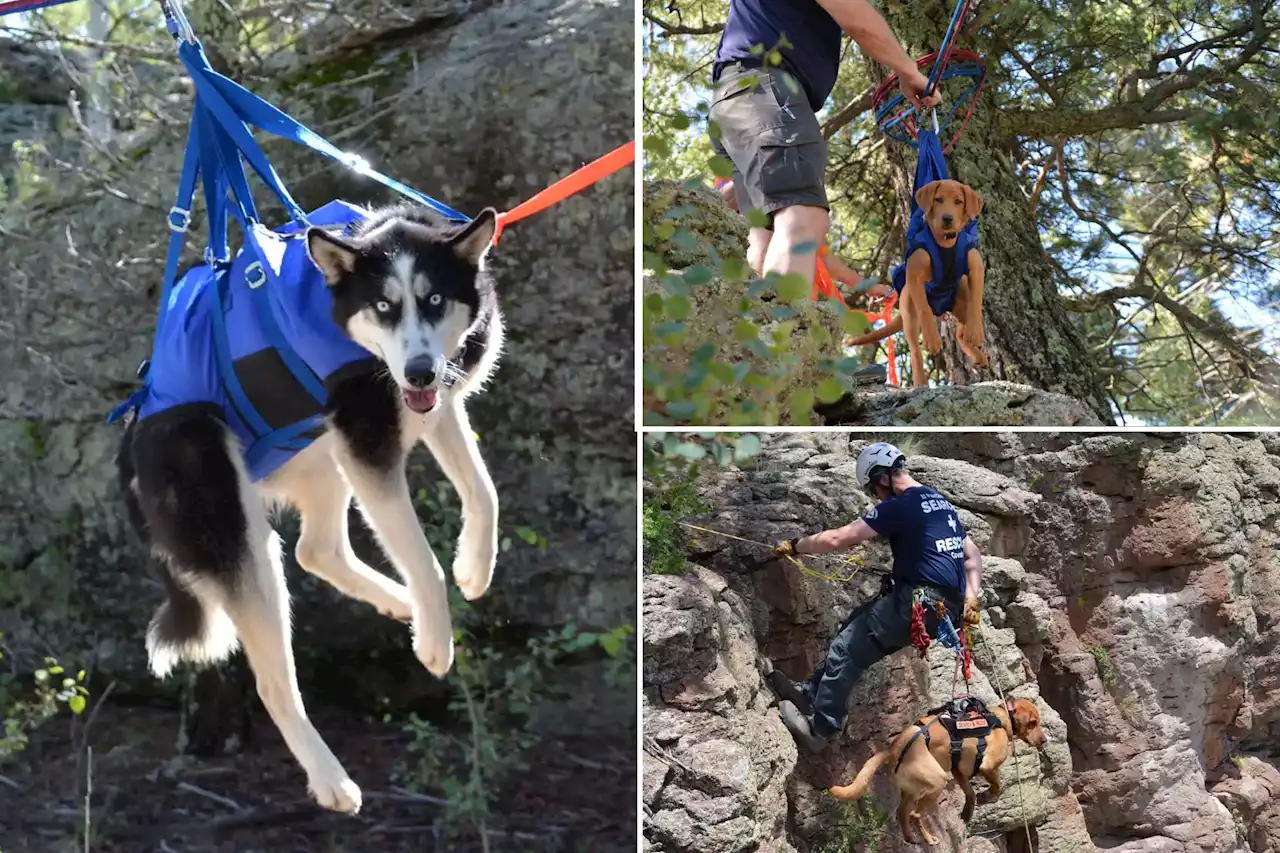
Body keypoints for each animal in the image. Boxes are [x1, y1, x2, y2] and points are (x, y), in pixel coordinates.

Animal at [116, 204, 504, 809]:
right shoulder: (371, 442)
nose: (418, 371)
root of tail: (134, 438)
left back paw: (399, 603)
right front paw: (435, 642)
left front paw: (473, 567)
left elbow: (484, 492)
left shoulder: (431, 411)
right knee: (274, 680)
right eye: (384, 306)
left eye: (435, 299)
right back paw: (330, 780)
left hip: (321, 452)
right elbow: (423, 561)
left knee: (315, 549)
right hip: (238, 530)